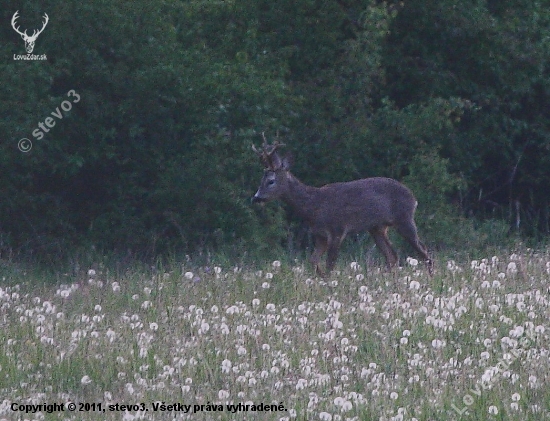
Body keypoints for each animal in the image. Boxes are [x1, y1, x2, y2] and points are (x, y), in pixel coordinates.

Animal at [252, 136, 434, 276]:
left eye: (271, 181)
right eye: (261, 180)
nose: (256, 198)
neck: (313, 207)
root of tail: (413, 198)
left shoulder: (337, 230)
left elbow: (330, 264)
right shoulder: (320, 235)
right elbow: (313, 260)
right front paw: (321, 279)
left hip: (404, 219)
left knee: (424, 252)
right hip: (377, 228)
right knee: (392, 256)